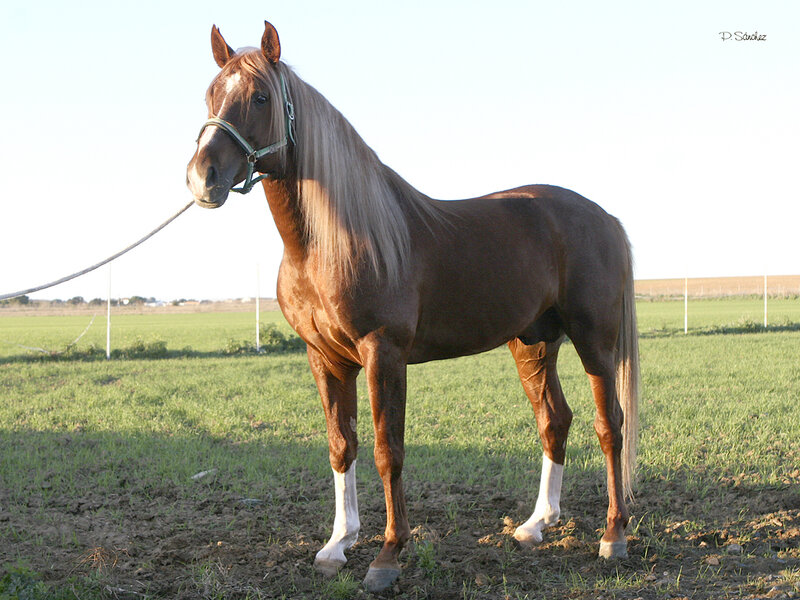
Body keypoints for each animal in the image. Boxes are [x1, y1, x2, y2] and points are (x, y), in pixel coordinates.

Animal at [186, 21, 640, 593]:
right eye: (210, 94)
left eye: (261, 97)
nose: (203, 177)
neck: (328, 244)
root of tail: (604, 216)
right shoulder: (324, 358)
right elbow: (342, 445)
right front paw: (337, 545)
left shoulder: (383, 353)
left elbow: (388, 451)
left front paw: (387, 555)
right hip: (533, 344)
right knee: (554, 420)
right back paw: (535, 526)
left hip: (594, 341)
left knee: (610, 425)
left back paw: (613, 536)